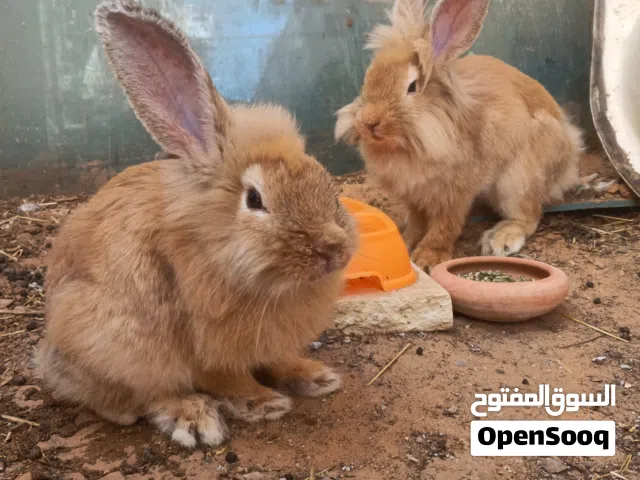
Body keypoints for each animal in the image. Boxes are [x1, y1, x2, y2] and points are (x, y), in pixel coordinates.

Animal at [36, 0, 357, 448]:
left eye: (320, 175)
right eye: (254, 199)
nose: (334, 249)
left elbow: (277, 359)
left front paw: (312, 376)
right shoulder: (208, 344)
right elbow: (227, 378)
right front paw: (263, 402)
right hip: (113, 339)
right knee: (138, 395)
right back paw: (192, 416)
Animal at [335, 0, 584, 271]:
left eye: (412, 87)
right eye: (369, 78)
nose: (367, 121)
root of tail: (570, 159)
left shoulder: (458, 192)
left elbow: (446, 224)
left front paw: (428, 257)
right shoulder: (413, 197)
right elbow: (417, 221)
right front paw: (406, 241)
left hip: (519, 179)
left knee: (528, 216)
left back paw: (500, 239)